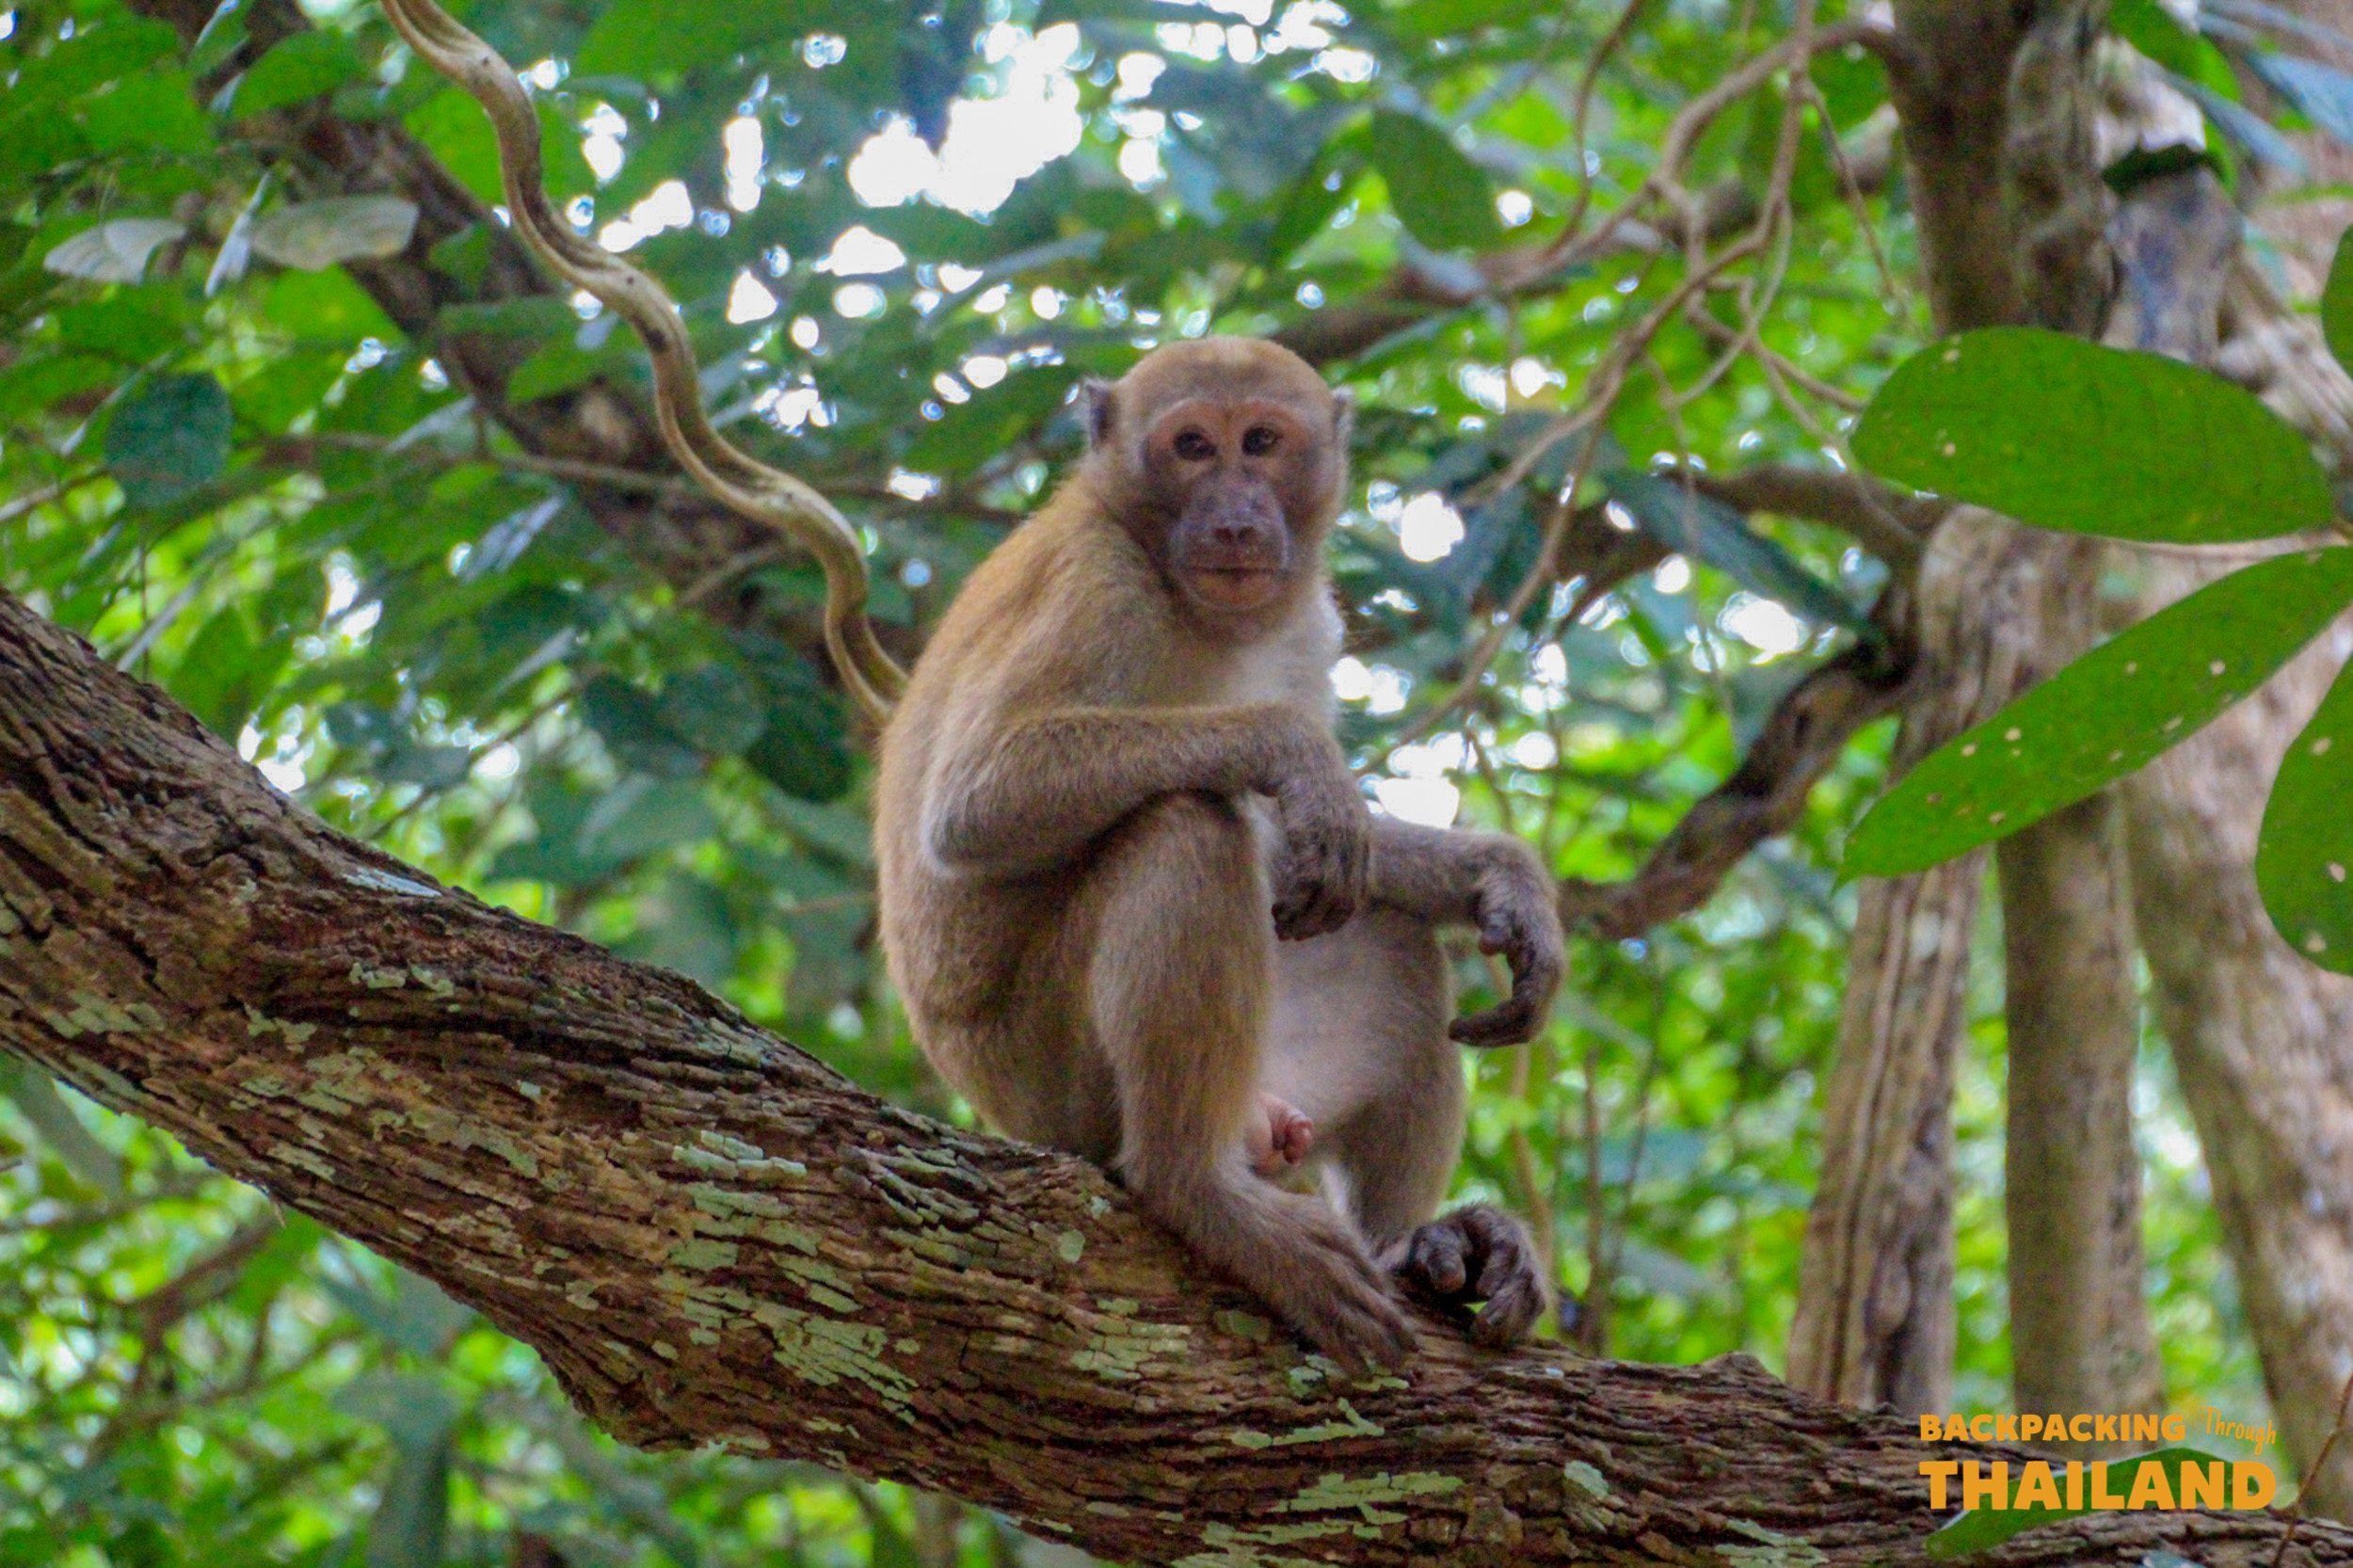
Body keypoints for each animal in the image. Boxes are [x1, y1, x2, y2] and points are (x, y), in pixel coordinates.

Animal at [874, 337, 1565, 1366]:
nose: (1237, 517)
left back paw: (1414, 1245)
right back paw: (1194, 1185)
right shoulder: (1095, 587)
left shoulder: (1307, 620)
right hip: (1062, 1084)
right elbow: (974, 804)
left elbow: (1330, 855)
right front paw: (1293, 750)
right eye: (1193, 445)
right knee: (1184, 823)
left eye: (1262, 443)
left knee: (1387, 931)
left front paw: (1500, 878)